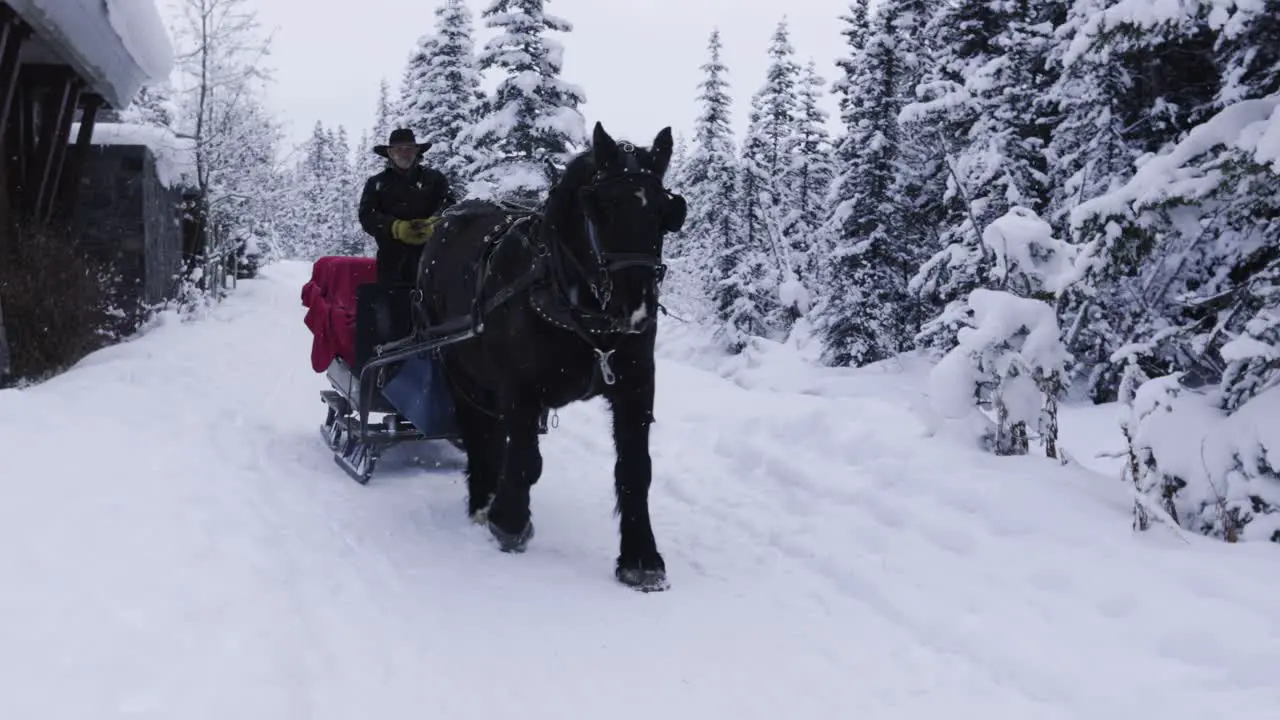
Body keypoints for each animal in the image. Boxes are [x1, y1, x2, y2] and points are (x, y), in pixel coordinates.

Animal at [414, 121, 686, 589]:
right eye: (603, 207)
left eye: (664, 213)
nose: (637, 309)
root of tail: (450, 216)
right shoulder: (519, 387)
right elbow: (525, 458)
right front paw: (508, 521)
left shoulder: (635, 385)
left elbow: (635, 469)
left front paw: (641, 558)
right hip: (458, 367)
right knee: (477, 428)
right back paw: (484, 499)